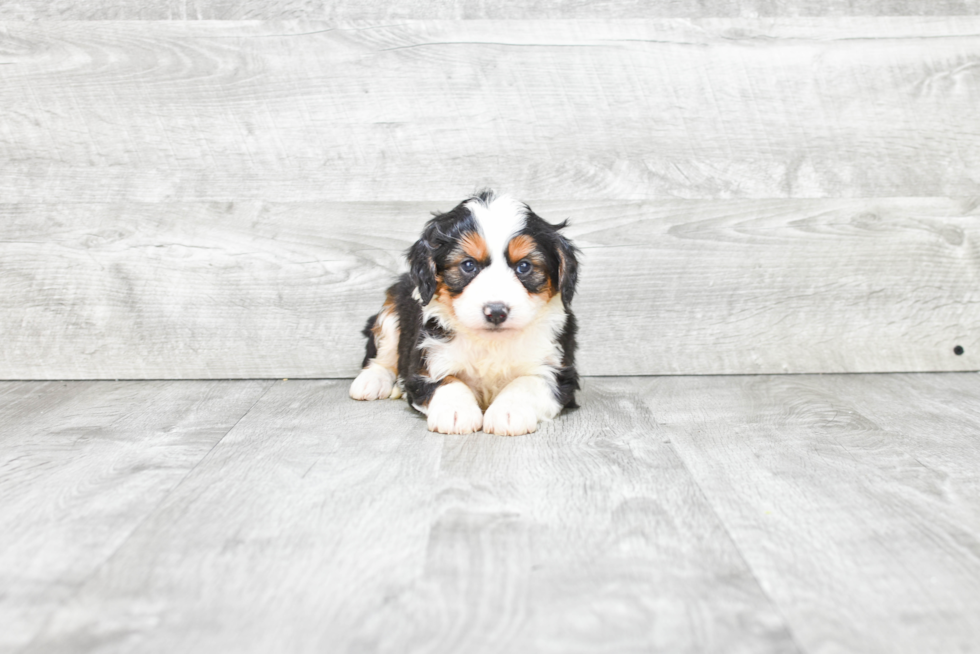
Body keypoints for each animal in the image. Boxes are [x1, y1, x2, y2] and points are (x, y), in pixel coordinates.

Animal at [350, 190, 580, 436]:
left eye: (524, 266)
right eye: (468, 265)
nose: (496, 312)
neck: (490, 343)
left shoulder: (559, 372)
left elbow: (527, 382)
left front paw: (508, 411)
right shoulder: (427, 361)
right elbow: (448, 381)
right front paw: (455, 411)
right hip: (392, 308)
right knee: (383, 353)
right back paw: (372, 381)